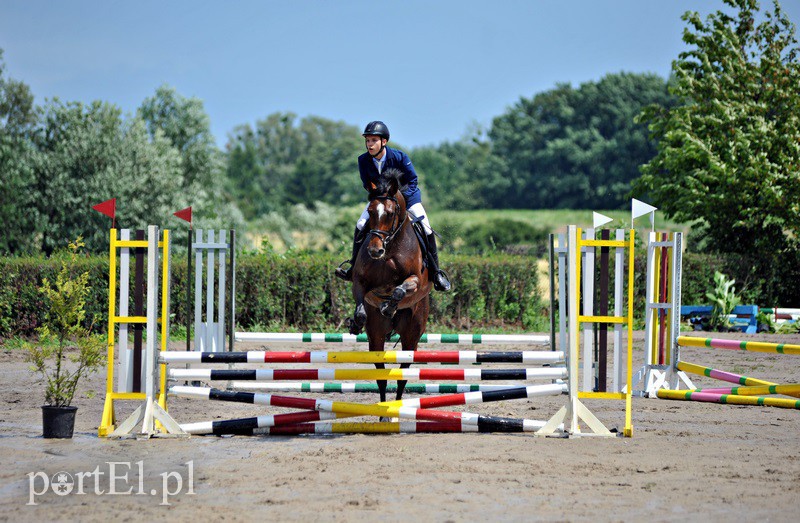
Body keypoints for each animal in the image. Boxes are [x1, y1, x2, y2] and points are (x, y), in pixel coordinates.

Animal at [346, 168, 432, 406]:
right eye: (370, 211)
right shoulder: (360, 281)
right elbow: (361, 308)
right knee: (381, 376)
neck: (391, 248)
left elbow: (400, 289)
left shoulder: (416, 280)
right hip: (376, 337)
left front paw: (389, 306)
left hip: (411, 338)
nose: (375, 250)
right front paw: (356, 322)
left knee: (403, 376)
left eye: (391, 213)